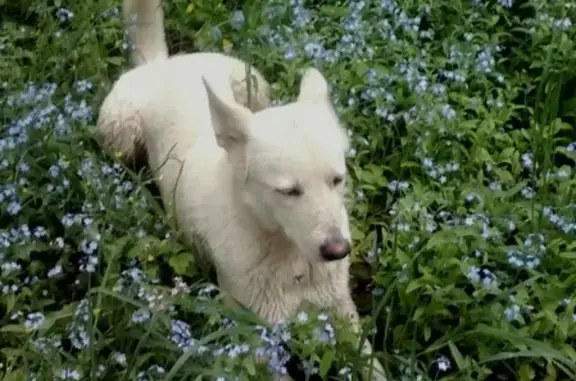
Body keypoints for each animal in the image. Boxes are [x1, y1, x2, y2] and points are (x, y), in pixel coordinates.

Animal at [98, 1, 388, 378]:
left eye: (337, 180)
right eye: (288, 191)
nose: (338, 251)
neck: (288, 255)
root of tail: (161, 63)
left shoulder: (342, 311)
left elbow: (370, 363)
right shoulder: (256, 336)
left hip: (252, 82)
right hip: (119, 134)